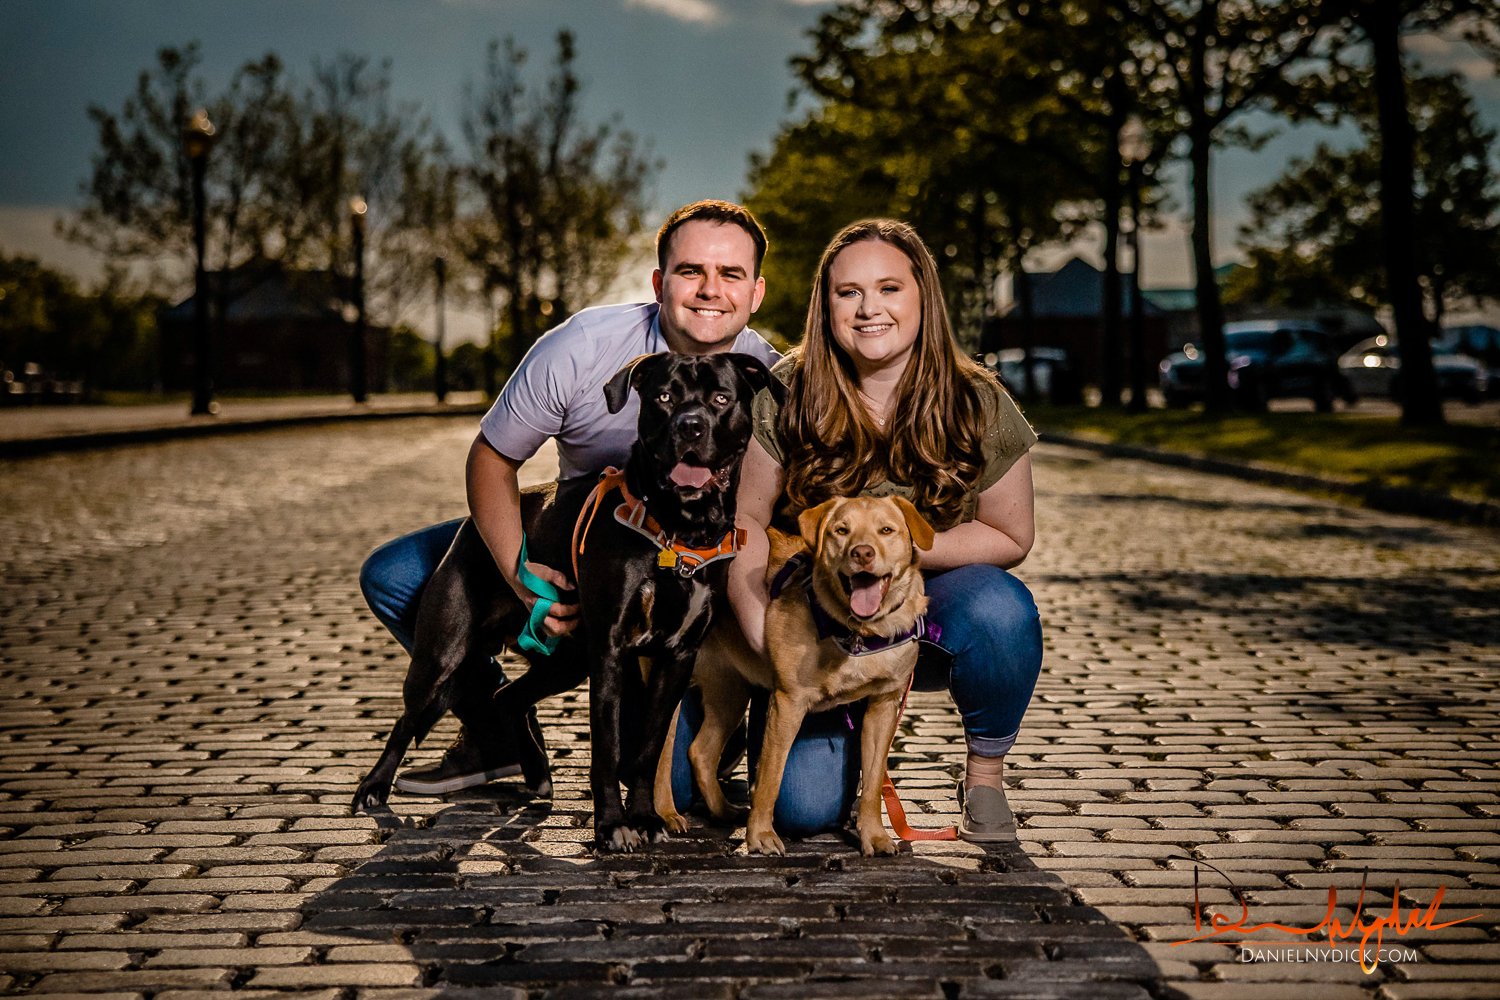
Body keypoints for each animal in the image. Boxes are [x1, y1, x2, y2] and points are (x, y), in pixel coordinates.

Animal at [654, 497, 930, 857]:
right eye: (841, 531)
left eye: (886, 530)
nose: (862, 553)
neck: (857, 633)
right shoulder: (788, 703)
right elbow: (771, 777)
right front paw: (759, 836)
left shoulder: (883, 707)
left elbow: (871, 784)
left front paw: (875, 836)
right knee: (660, 755)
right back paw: (666, 814)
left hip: (729, 692)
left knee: (700, 751)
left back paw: (723, 811)